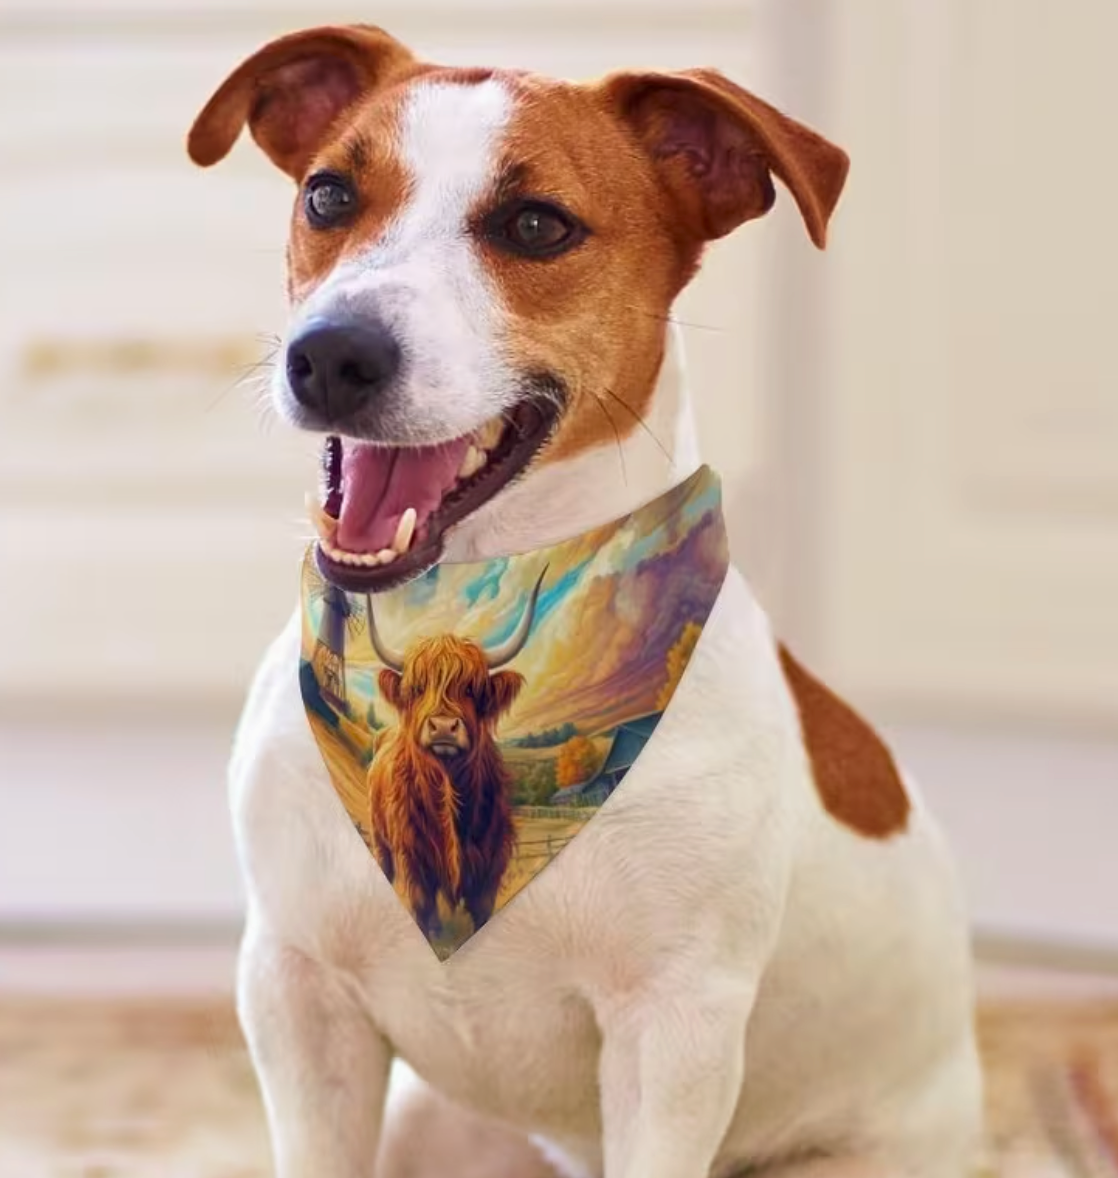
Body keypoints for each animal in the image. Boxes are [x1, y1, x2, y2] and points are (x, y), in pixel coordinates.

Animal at [364, 568, 547, 939]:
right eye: (418, 688)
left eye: (472, 689)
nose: (444, 727)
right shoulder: (412, 860)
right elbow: (423, 911)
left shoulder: (490, 865)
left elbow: (482, 914)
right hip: (379, 838)